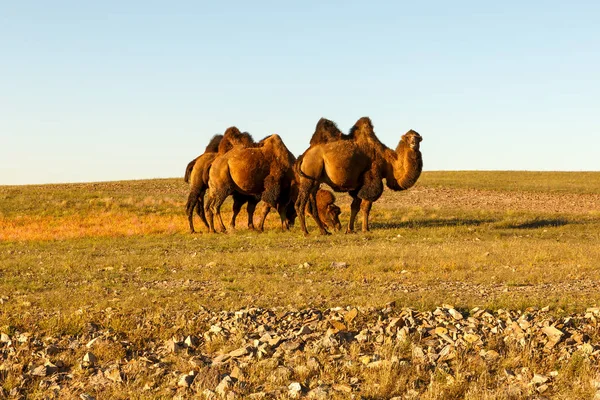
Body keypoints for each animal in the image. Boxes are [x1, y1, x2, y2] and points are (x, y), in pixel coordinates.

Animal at [294, 115, 422, 234]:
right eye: (408, 137)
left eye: (418, 137)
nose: (413, 143)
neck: (387, 161)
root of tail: (303, 156)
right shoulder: (372, 179)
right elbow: (366, 206)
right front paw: (366, 229)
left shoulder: (359, 185)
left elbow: (354, 207)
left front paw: (350, 229)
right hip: (308, 178)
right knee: (300, 204)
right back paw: (306, 232)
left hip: (315, 181)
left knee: (312, 206)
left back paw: (324, 232)